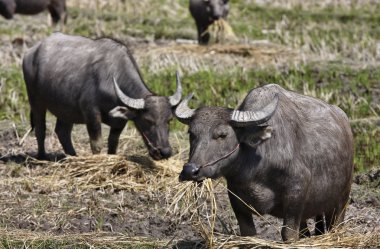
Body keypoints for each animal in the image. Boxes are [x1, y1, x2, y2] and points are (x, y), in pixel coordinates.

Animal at [23, 32, 183, 160]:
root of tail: (31, 52)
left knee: (62, 132)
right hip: (35, 100)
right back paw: (42, 156)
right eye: (148, 120)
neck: (112, 78)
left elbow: (113, 144)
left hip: (65, 109)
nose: (164, 152)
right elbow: (97, 144)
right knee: (40, 128)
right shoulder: (91, 113)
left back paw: (73, 156)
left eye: (169, 120)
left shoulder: (119, 122)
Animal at [175, 84, 354, 241]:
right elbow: (248, 233)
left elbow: (288, 234)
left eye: (222, 135)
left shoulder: (296, 195)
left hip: (341, 199)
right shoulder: (236, 198)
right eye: (192, 133)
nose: (190, 170)